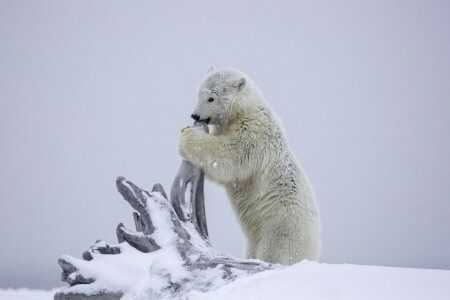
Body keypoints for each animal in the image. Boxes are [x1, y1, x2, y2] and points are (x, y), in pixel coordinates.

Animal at [178, 67, 322, 264]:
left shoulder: (253, 133)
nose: (195, 115)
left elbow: (230, 157)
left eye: (211, 98)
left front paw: (187, 136)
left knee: (275, 252)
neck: (244, 111)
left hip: (280, 227)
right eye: (199, 93)